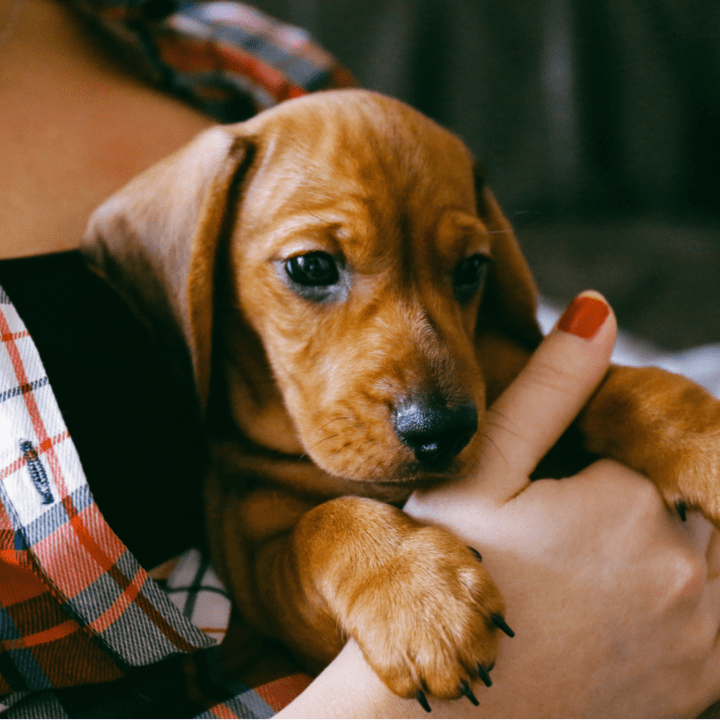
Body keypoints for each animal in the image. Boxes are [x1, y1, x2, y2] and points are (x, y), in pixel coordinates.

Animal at [83, 90, 720, 704]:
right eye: (310, 266)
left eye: (472, 268)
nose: (441, 431)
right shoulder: (261, 576)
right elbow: (324, 523)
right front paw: (417, 595)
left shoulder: (511, 369)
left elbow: (629, 388)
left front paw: (704, 443)